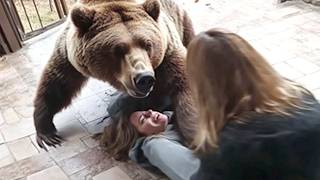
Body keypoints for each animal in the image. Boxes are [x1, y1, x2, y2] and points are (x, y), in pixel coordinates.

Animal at [33, 0, 196, 150]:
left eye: (148, 45)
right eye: (118, 50)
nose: (144, 78)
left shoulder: (168, 48)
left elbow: (186, 85)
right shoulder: (69, 56)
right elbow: (58, 84)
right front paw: (47, 133)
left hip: (181, 21)